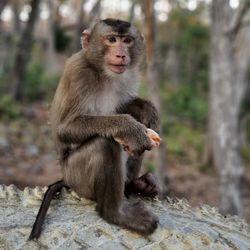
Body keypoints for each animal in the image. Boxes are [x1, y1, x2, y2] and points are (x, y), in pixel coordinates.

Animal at [29, 18, 161, 239]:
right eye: (111, 39)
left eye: (127, 40)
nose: (121, 54)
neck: (104, 73)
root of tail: (66, 178)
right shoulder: (79, 72)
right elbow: (65, 129)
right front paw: (129, 128)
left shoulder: (129, 76)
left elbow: (129, 109)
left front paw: (145, 108)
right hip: (77, 177)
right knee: (105, 144)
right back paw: (115, 213)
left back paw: (136, 184)